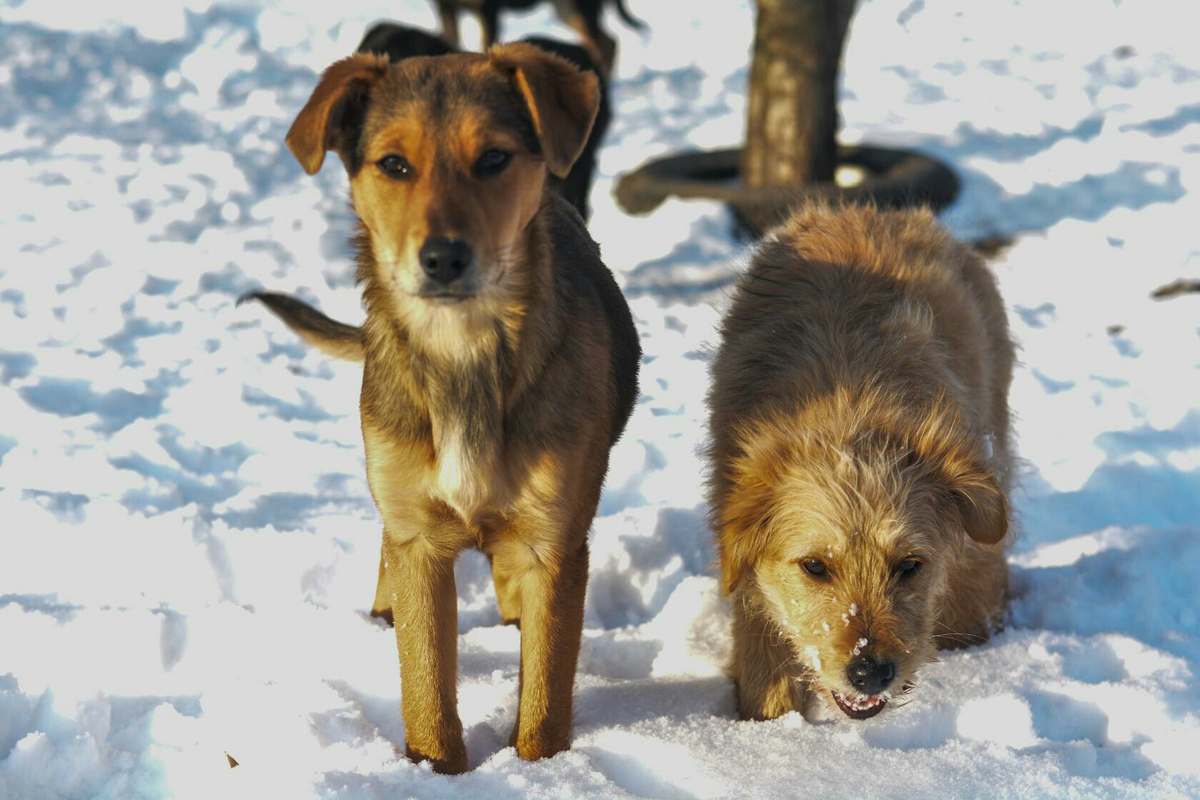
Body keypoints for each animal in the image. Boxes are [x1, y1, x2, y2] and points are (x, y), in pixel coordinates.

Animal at [241, 45, 638, 777]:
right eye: (394, 164)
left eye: (494, 159)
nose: (444, 258)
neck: (463, 357)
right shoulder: (420, 543)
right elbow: (425, 680)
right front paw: (435, 769)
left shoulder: (553, 545)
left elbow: (545, 695)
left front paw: (539, 770)